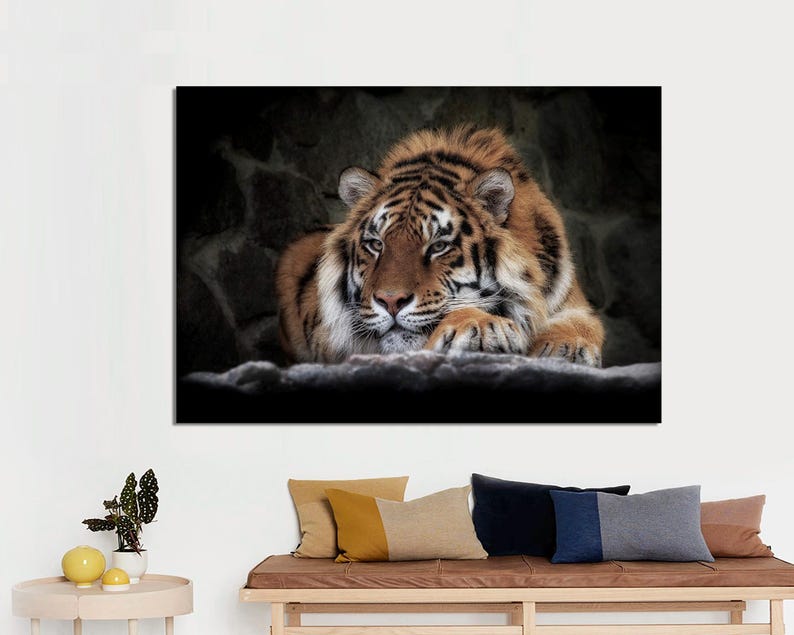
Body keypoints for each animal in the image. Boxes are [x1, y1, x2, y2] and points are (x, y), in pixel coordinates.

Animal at [275, 124, 604, 366]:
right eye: (376, 244)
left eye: (438, 246)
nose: (390, 301)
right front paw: (481, 326)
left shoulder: (573, 303)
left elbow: (581, 324)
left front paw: (566, 347)